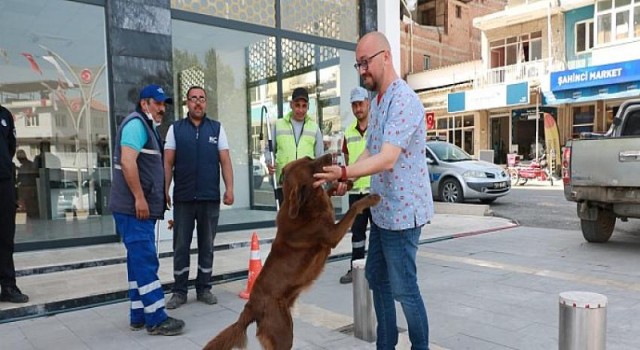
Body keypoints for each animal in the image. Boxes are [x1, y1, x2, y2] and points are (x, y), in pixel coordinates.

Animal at [202, 154, 378, 350]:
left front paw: (344, 184)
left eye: (310, 158)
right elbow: (353, 208)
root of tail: (250, 307)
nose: (331, 154)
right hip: (283, 331)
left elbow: (329, 192)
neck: (306, 203)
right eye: (310, 167)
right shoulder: (332, 234)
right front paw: (370, 198)